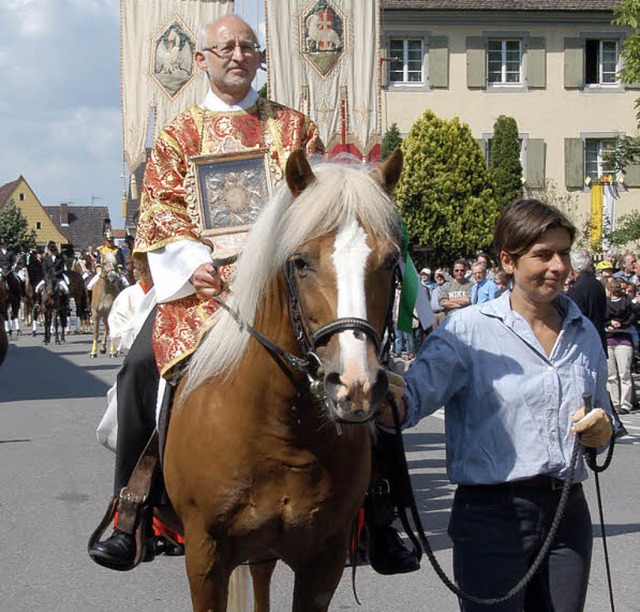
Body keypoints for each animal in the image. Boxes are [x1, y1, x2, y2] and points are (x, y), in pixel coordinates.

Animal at [162, 149, 402, 612]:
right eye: (301, 262)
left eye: (390, 261)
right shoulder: (204, 558)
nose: (355, 386)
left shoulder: (324, 560)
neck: (282, 430)